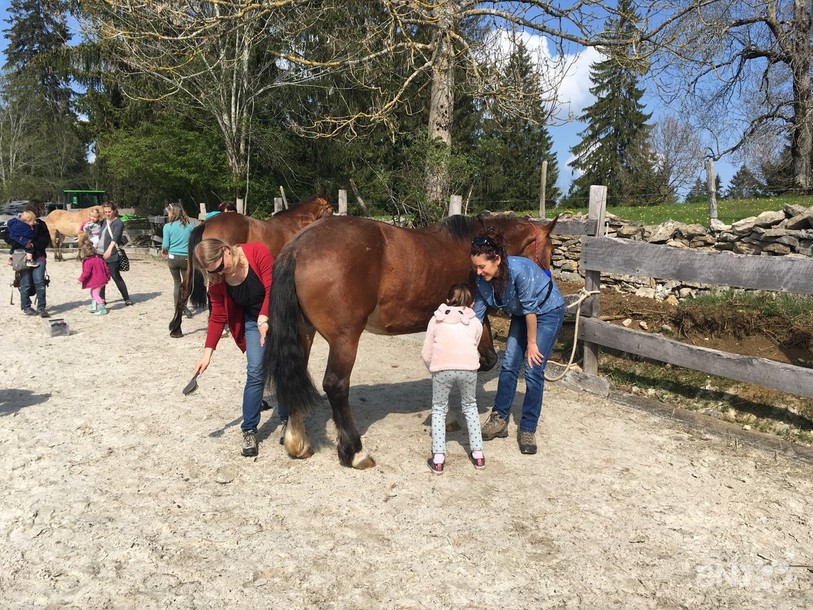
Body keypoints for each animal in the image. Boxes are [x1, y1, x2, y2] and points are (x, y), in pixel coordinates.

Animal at [264, 212, 558, 469]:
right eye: (550, 251)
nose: (547, 291)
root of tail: (297, 247)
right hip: (344, 338)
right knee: (335, 385)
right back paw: (356, 453)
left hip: (304, 332)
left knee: (293, 378)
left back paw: (297, 442)